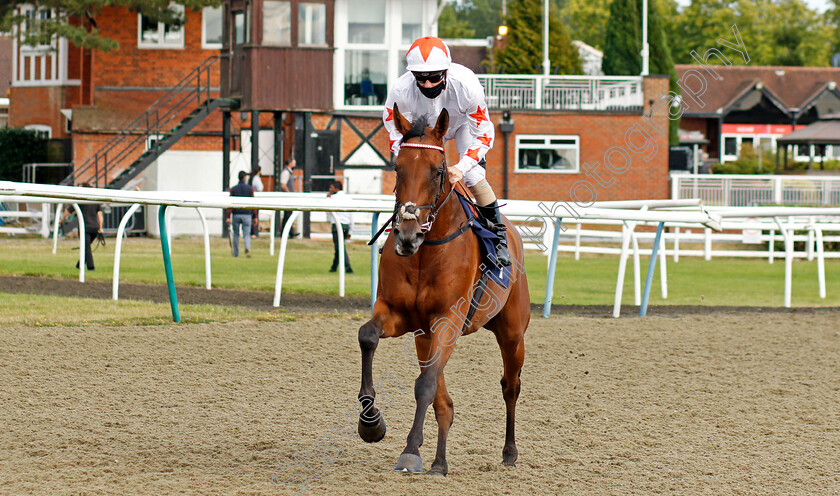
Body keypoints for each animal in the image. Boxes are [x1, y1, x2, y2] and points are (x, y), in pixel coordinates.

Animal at [356, 102, 528, 474]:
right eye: (398, 168)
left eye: (437, 172)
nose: (407, 235)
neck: (425, 252)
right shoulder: (399, 315)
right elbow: (368, 336)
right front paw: (371, 422)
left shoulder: (448, 320)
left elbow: (425, 385)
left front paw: (410, 451)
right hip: (425, 336)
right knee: (444, 402)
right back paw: (439, 461)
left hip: (512, 333)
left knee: (510, 386)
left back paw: (509, 452)